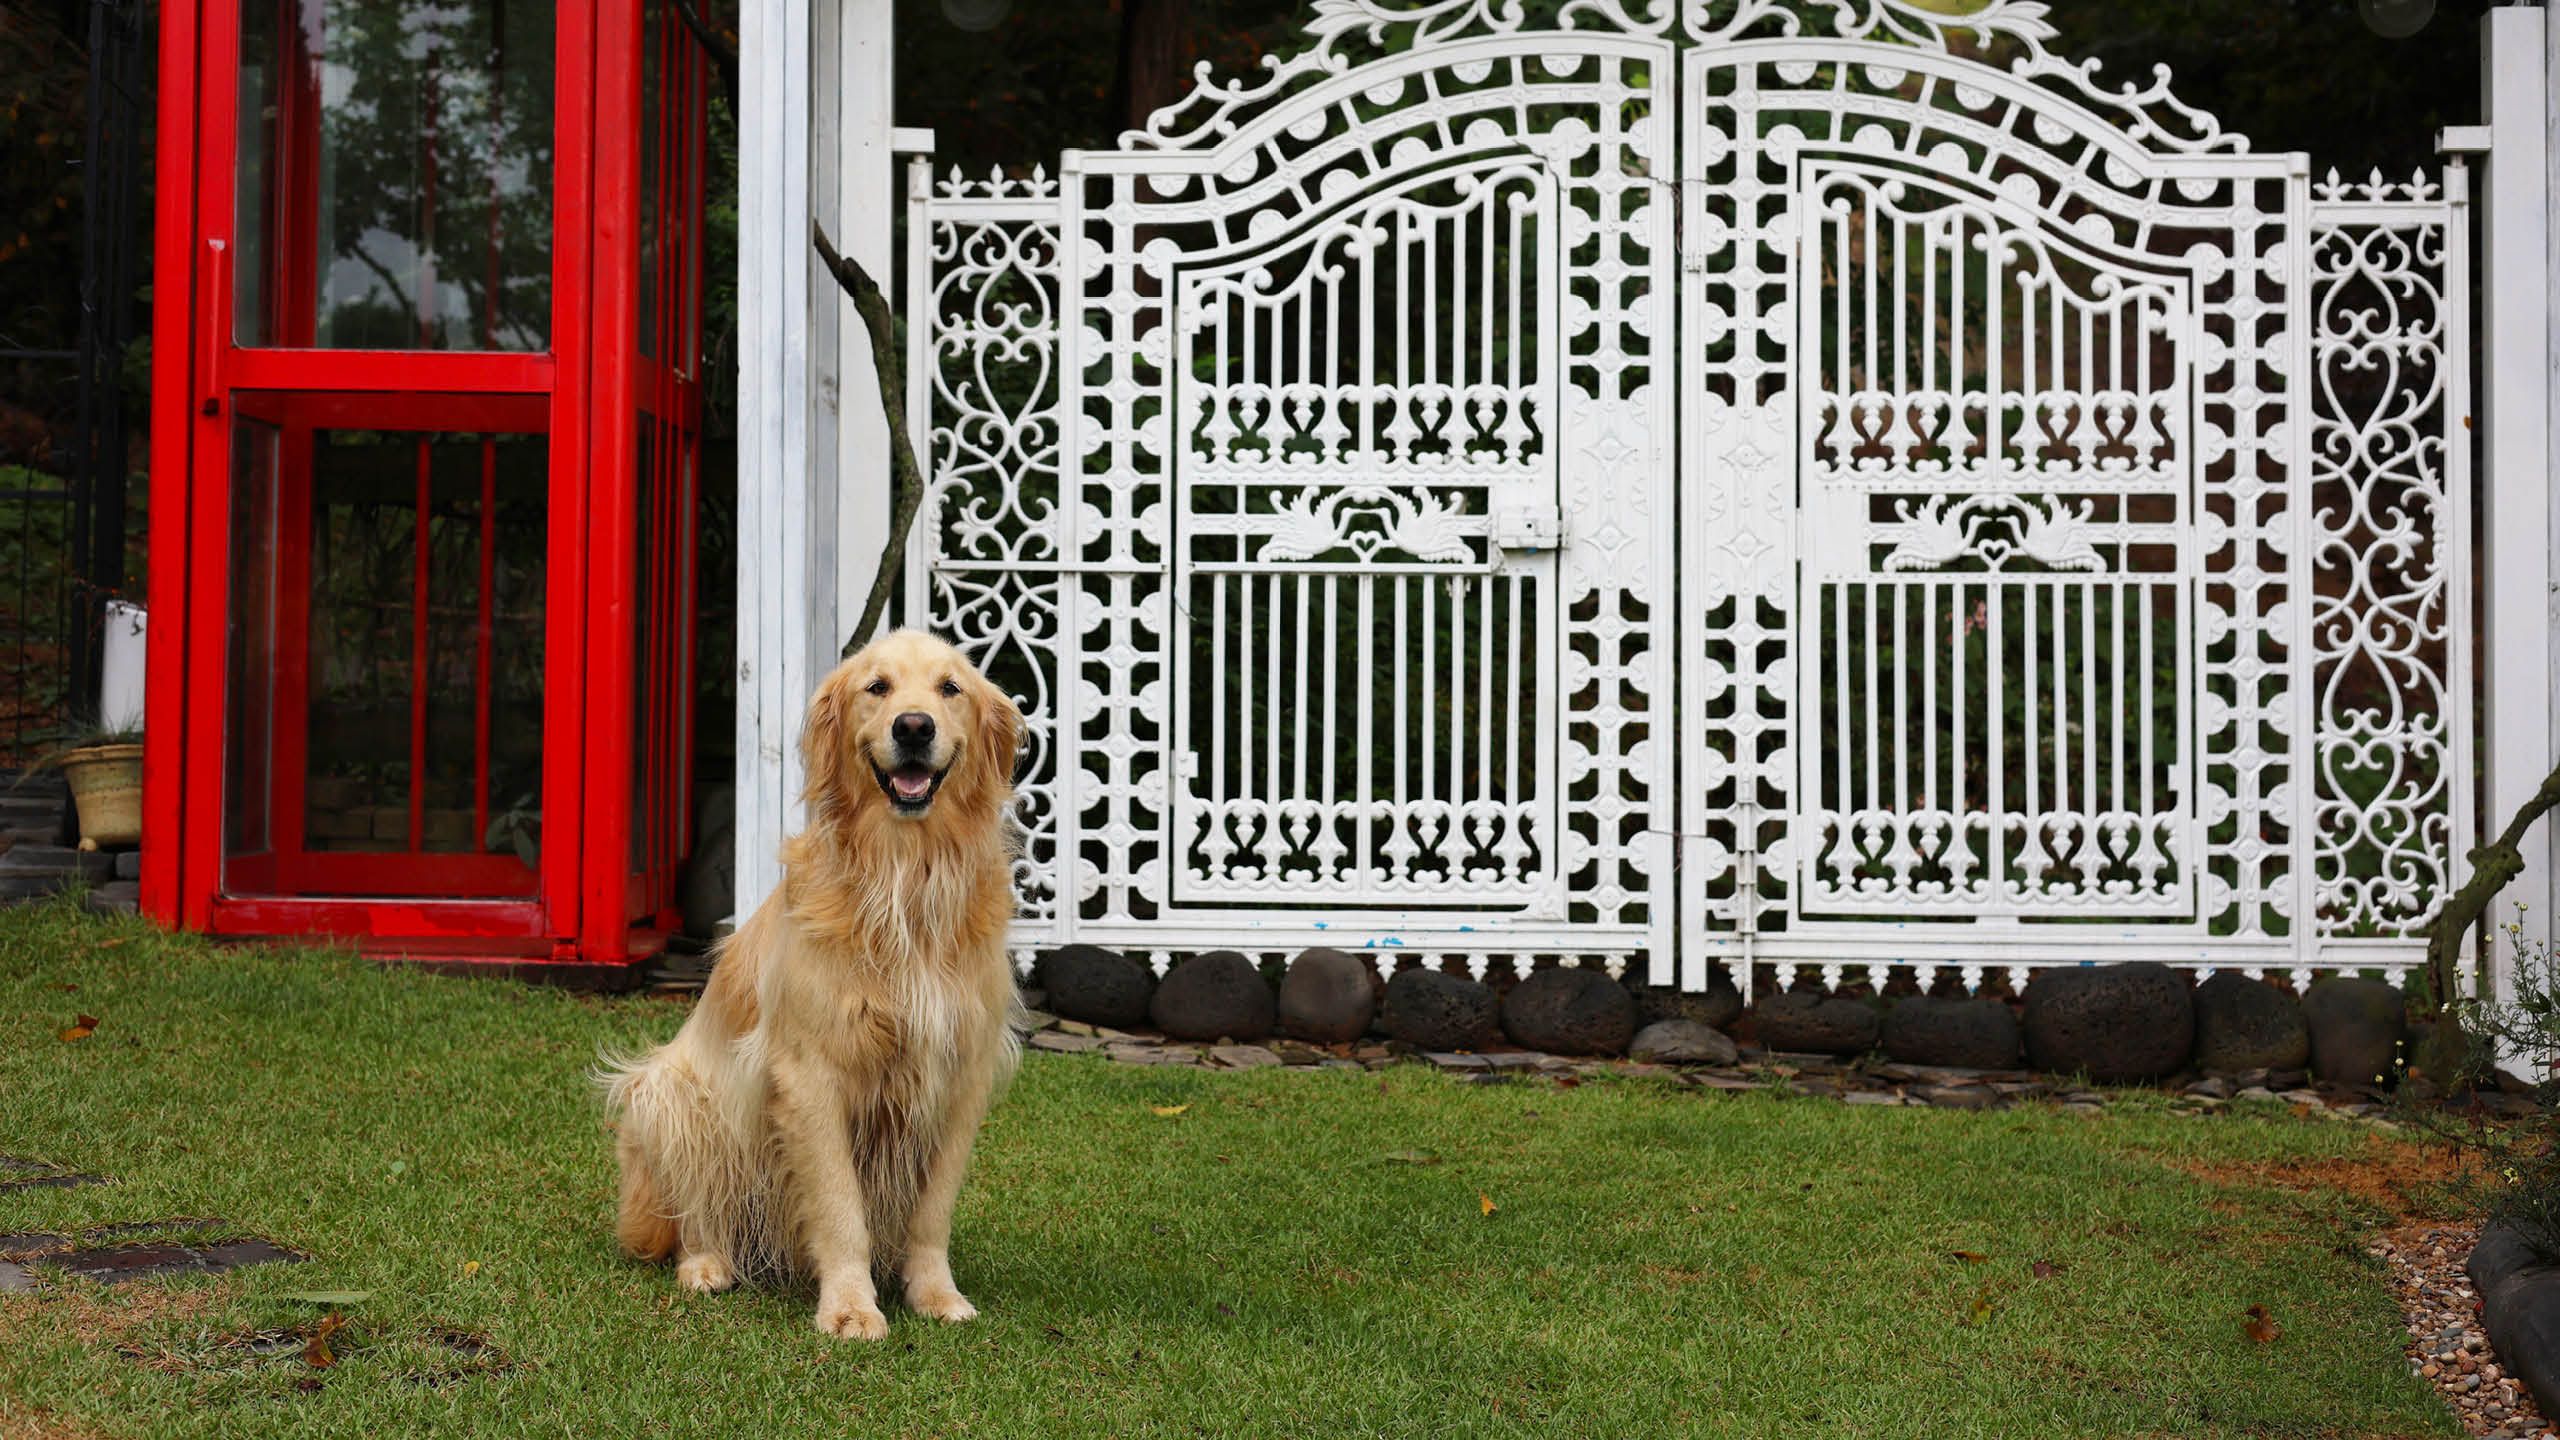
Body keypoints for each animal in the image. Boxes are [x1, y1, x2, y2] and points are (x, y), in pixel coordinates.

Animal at [601, 629, 1025, 1339]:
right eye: (877, 687)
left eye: (950, 688)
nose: (914, 727)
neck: (905, 877)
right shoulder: (810, 1074)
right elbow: (838, 1205)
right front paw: (851, 1306)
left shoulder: (961, 1070)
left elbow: (932, 1211)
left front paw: (936, 1295)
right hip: (670, 1095)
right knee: (694, 1215)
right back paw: (707, 1264)